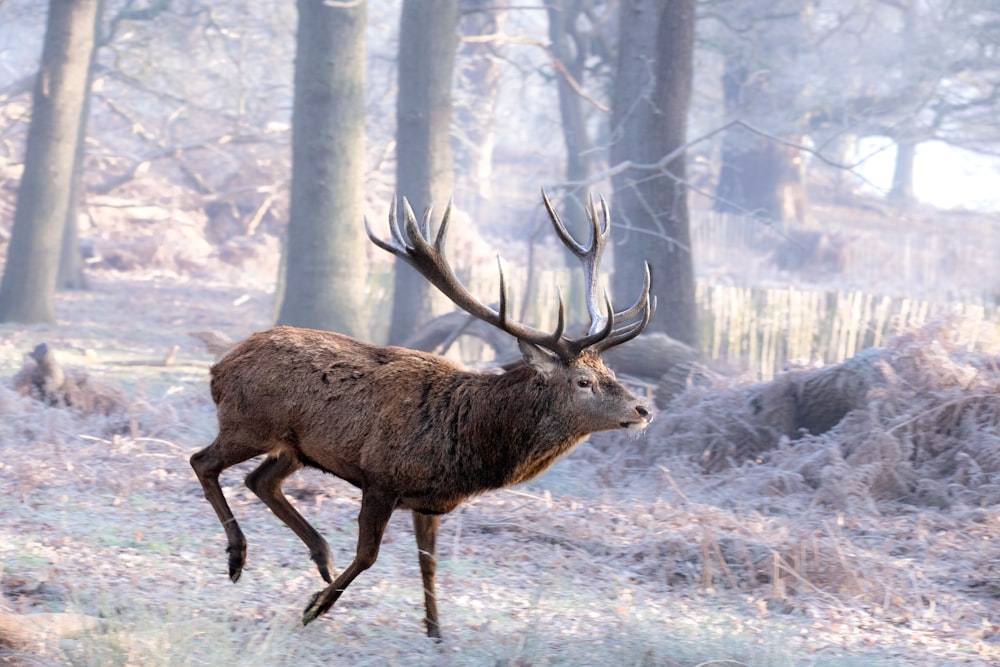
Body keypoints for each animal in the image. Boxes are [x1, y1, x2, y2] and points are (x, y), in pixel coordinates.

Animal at [189, 190, 656, 640]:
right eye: (583, 381)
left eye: (610, 373)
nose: (643, 409)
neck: (467, 440)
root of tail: (219, 367)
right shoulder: (381, 478)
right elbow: (368, 556)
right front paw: (314, 608)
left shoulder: (429, 501)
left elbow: (428, 563)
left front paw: (435, 632)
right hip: (248, 423)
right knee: (202, 461)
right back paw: (239, 556)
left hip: (294, 448)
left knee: (260, 480)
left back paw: (320, 556)